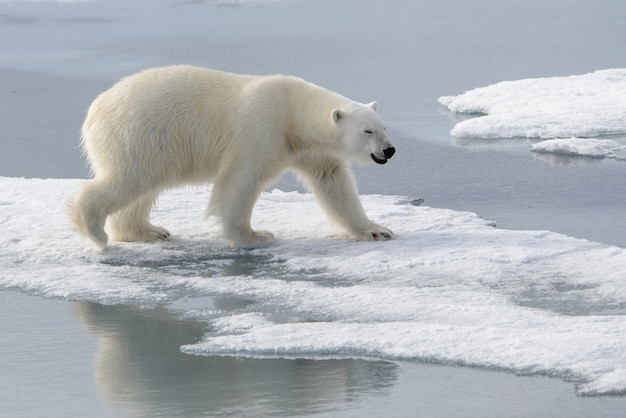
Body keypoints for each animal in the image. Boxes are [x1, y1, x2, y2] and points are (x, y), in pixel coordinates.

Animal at [70, 64, 394, 248]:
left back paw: (148, 231)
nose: (389, 150)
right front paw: (255, 236)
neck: (293, 116)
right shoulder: (261, 127)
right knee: (129, 180)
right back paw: (96, 233)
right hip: (141, 134)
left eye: (383, 127)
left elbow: (334, 182)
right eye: (367, 131)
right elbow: (242, 181)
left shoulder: (311, 149)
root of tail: (94, 111)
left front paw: (375, 230)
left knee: (144, 188)